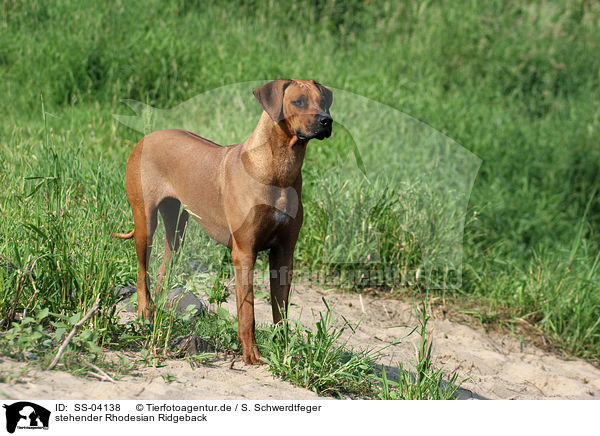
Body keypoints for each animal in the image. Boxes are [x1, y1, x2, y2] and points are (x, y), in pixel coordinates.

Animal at [113, 79, 332, 364]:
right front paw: (251, 353)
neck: (279, 170)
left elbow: (280, 311)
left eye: (323, 101)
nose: (327, 121)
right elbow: (248, 312)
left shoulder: (284, 254)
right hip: (144, 223)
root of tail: (147, 137)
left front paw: (284, 351)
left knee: (163, 269)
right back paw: (144, 313)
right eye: (299, 102)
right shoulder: (244, 252)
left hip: (177, 228)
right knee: (142, 272)